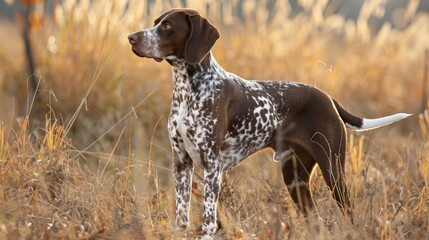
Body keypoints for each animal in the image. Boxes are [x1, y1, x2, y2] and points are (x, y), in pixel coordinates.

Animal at [128, 7, 412, 238]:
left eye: (167, 26)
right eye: (155, 22)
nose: (131, 37)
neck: (188, 89)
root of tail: (328, 98)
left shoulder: (211, 165)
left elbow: (208, 218)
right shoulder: (181, 163)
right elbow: (182, 215)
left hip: (333, 170)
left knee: (348, 212)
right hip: (295, 177)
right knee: (314, 219)